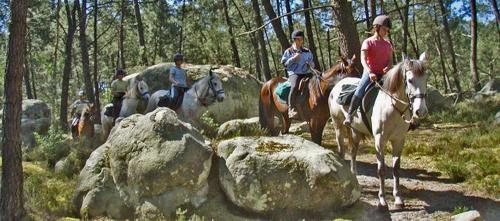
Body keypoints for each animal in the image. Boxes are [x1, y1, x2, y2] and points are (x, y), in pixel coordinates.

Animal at [328, 52, 430, 211]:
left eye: (426, 79)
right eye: (410, 80)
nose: (421, 111)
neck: (392, 106)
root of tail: (339, 83)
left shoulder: (399, 140)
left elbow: (396, 169)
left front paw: (398, 199)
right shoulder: (379, 140)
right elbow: (381, 170)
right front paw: (382, 201)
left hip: (356, 131)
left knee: (353, 152)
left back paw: (354, 177)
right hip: (338, 126)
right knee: (342, 152)